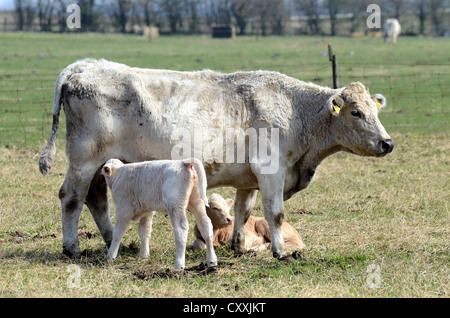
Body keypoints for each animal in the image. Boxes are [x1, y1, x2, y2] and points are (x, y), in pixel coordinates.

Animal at [39, 59, 394, 260]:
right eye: (356, 112)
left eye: (375, 111)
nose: (387, 143)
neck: (295, 112)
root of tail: (80, 66)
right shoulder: (272, 171)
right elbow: (276, 213)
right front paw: (280, 252)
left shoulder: (250, 178)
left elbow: (243, 210)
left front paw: (238, 246)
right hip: (84, 159)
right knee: (72, 198)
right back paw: (71, 248)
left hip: (103, 164)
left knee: (96, 198)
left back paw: (115, 241)